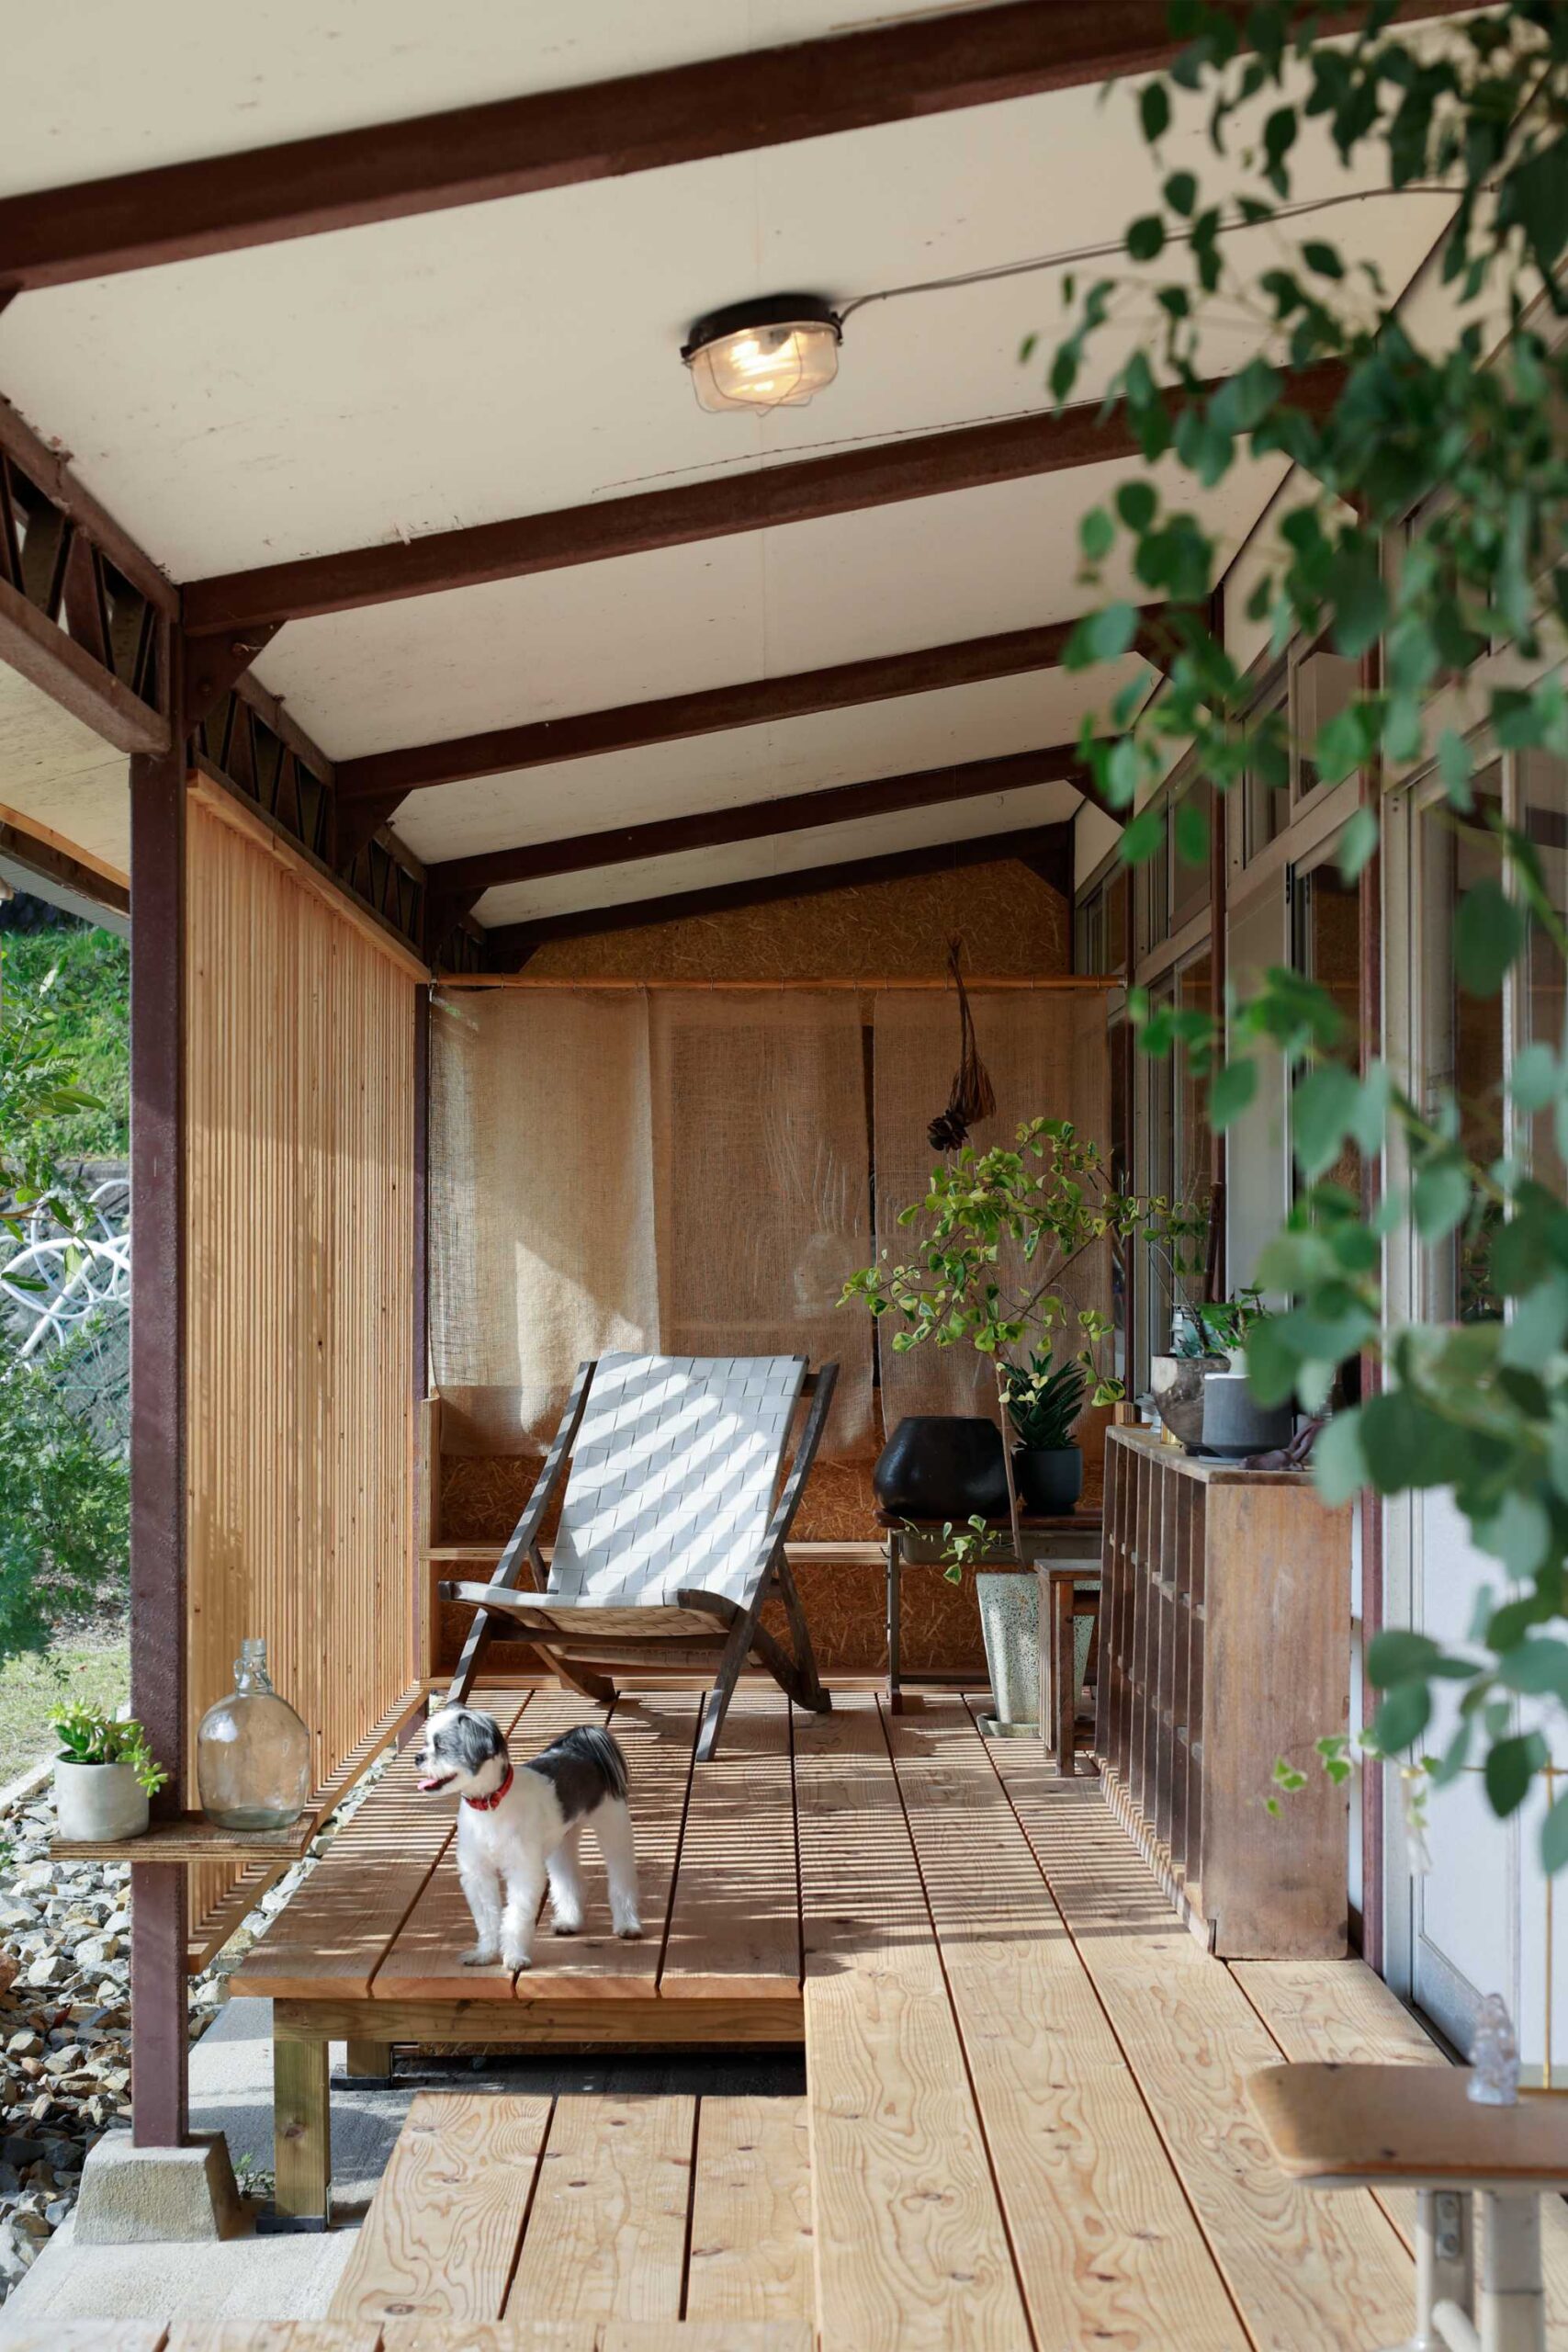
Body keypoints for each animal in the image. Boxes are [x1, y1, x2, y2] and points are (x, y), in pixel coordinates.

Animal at [414, 1706, 642, 1972]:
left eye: (441, 1746)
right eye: (426, 1742)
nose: (418, 1757)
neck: (490, 1806)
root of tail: (583, 1746)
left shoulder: (523, 1871)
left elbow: (516, 1917)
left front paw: (515, 1957)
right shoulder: (478, 1873)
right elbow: (486, 1919)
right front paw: (484, 1954)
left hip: (613, 1827)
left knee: (622, 1878)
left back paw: (628, 1924)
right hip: (561, 1843)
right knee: (568, 1880)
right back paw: (569, 1921)